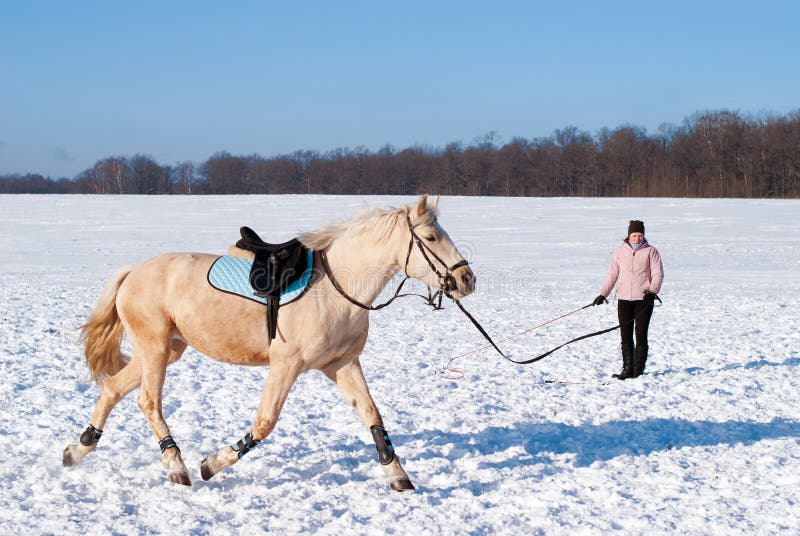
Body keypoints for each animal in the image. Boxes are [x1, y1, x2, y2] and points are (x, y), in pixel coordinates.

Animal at [64, 195, 476, 492]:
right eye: (431, 238)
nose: (467, 280)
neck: (336, 290)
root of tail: (133, 271)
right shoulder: (286, 365)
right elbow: (264, 423)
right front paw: (211, 463)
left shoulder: (342, 364)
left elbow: (373, 416)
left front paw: (398, 476)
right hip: (155, 347)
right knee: (147, 401)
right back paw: (176, 465)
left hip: (169, 349)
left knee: (113, 388)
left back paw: (78, 448)